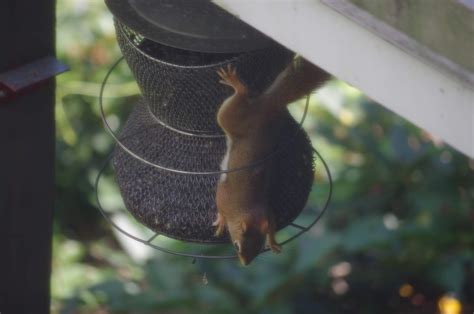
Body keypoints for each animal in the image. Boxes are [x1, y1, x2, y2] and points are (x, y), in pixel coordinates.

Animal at [215, 56, 330, 264]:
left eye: (259, 247)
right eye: (237, 246)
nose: (245, 264)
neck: (243, 209)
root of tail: (267, 106)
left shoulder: (266, 213)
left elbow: (271, 225)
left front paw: (274, 242)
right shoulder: (224, 197)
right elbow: (220, 206)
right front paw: (220, 222)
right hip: (229, 115)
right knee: (239, 99)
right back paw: (237, 84)